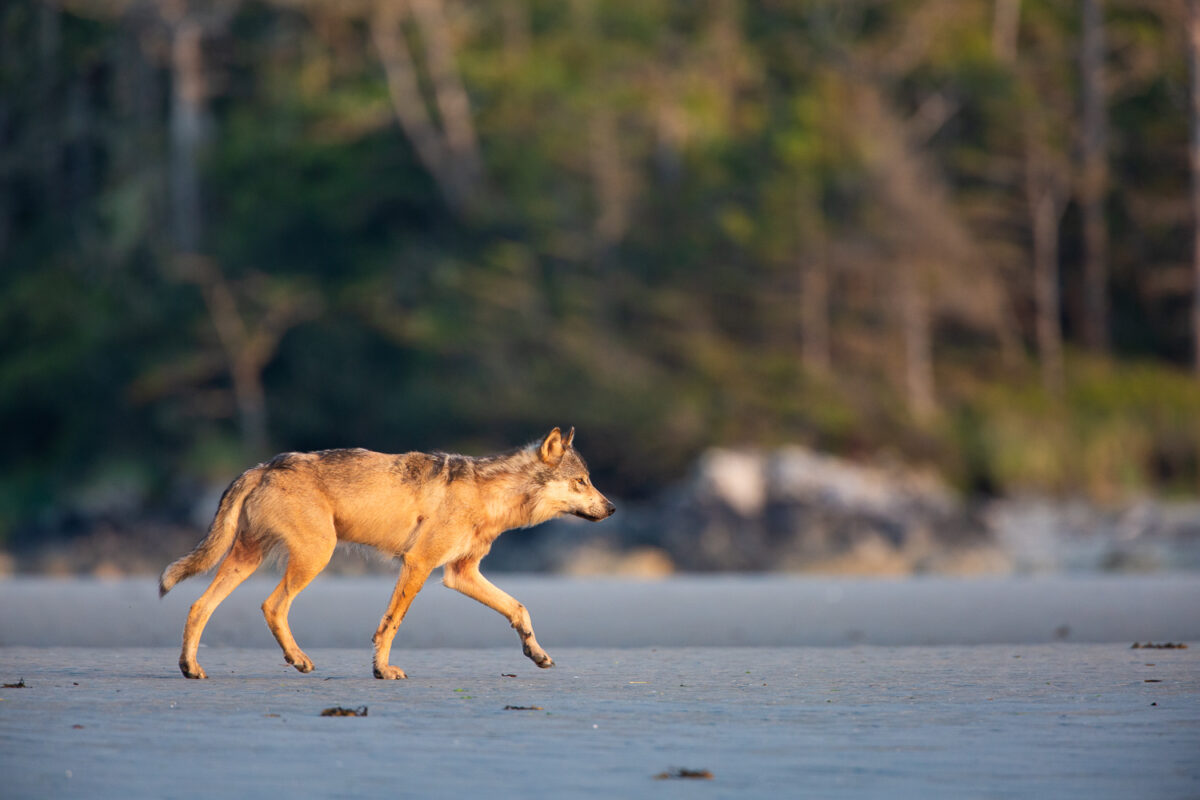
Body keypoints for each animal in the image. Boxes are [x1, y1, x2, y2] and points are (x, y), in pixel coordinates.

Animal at [159, 427, 614, 679]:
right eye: (582, 481)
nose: (612, 509)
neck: (490, 496)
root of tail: (263, 465)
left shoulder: (459, 574)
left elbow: (519, 609)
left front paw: (536, 654)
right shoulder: (420, 565)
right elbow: (391, 624)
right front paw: (382, 670)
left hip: (249, 560)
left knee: (199, 606)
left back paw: (191, 668)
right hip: (315, 556)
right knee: (271, 606)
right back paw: (299, 660)